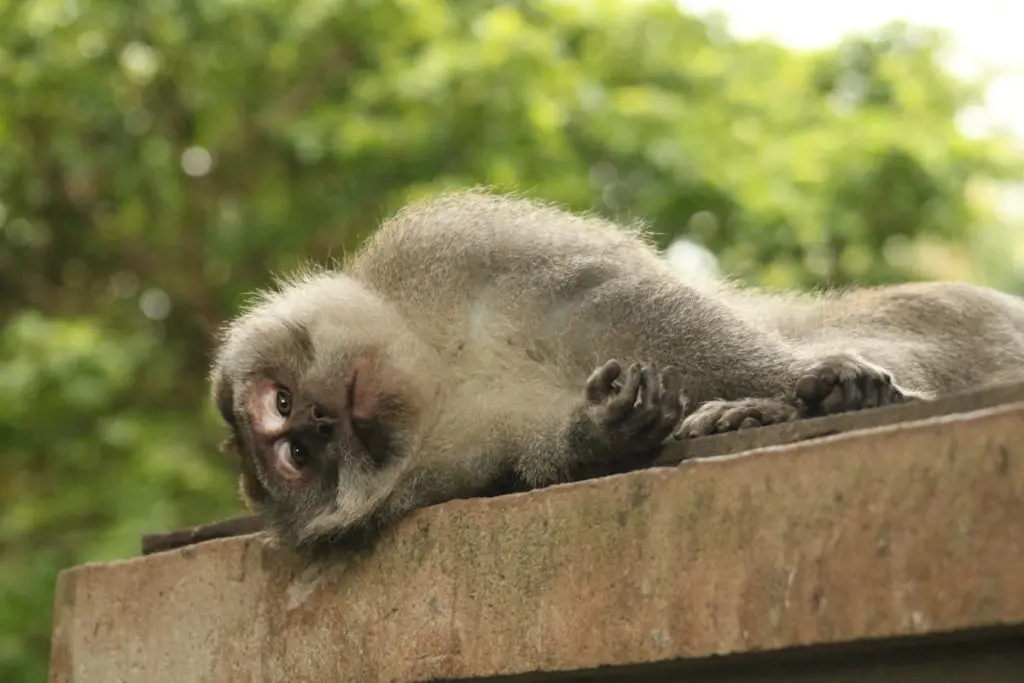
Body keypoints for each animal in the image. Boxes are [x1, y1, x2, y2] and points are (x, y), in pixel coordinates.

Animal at [210, 188, 1024, 554]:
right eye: (299, 453)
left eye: (282, 403)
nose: (320, 418)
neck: (436, 372)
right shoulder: (446, 465)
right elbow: (533, 458)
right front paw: (601, 431)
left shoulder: (446, 248)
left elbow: (612, 301)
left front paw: (814, 379)